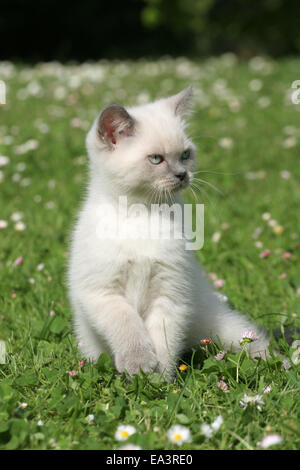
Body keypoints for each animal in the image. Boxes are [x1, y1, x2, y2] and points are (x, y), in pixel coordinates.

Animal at [68, 86, 270, 380]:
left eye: (185, 154)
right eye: (156, 159)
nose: (182, 175)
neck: (143, 212)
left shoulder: (170, 294)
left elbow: (163, 340)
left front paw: (157, 379)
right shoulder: (102, 292)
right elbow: (128, 327)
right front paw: (139, 366)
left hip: (223, 327)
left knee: (254, 342)